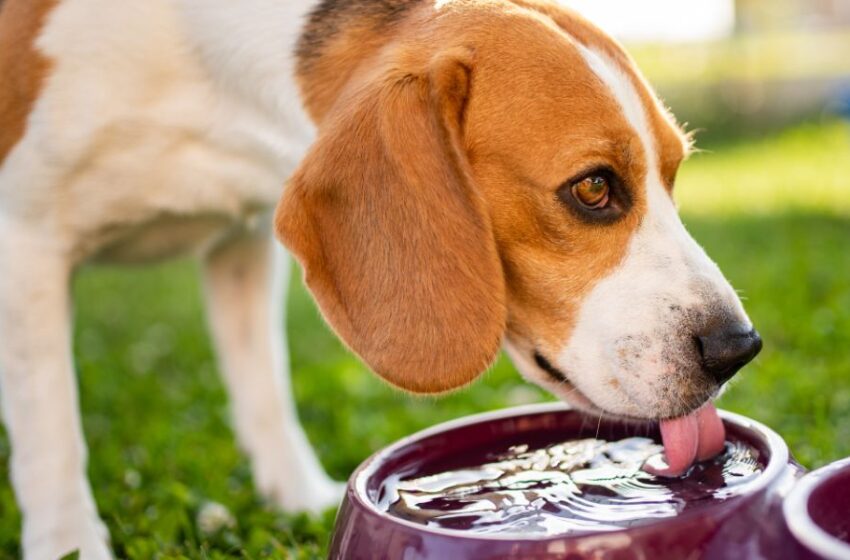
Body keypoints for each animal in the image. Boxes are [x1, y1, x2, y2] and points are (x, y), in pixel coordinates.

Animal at [0, 0, 760, 556]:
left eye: (673, 173)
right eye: (594, 187)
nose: (738, 348)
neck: (200, 73)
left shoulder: (243, 242)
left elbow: (263, 387)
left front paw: (298, 496)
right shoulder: (26, 243)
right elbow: (51, 433)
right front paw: (68, 544)